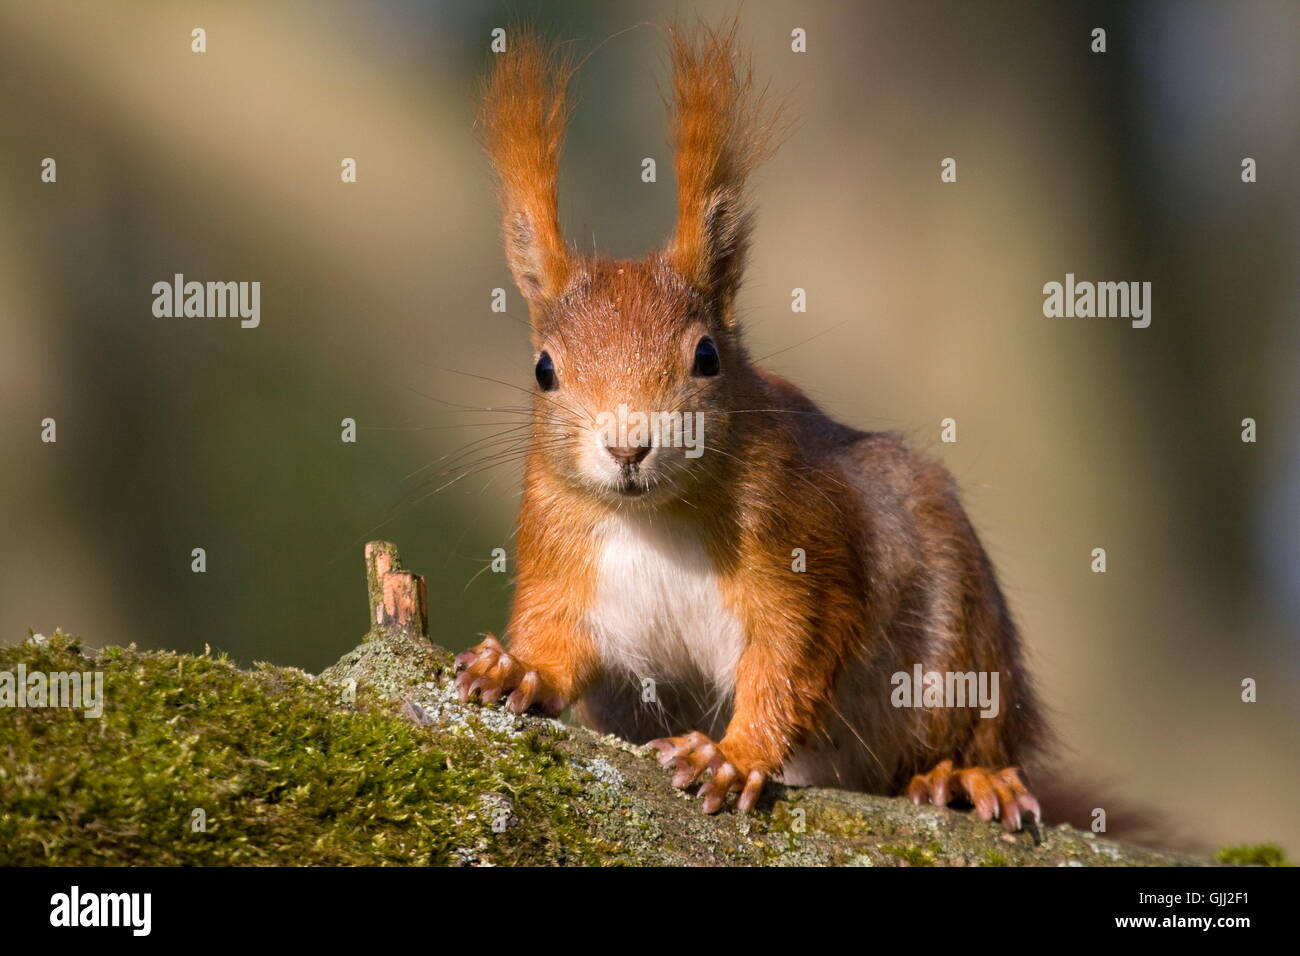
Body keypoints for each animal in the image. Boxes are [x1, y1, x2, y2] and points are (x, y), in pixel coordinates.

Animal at [457, 20, 1045, 832]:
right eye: (544, 370)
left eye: (706, 356)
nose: (627, 445)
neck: (656, 518)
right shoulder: (559, 548)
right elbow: (560, 640)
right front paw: (516, 667)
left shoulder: (801, 542)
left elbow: (790, 658)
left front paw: (731, 756)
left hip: (964, 642)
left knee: (973, 731)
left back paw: (966, 776)